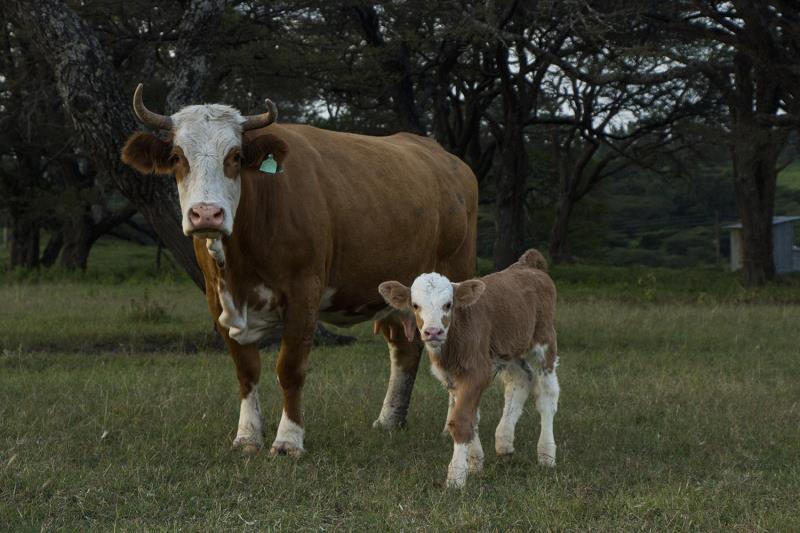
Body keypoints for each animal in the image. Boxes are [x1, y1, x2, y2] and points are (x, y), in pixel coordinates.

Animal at [121, 84, 477, 456]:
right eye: (177, 157)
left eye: (235, 157)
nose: (206, 214)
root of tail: (448, 159)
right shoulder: (217, 300)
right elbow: (246, 370)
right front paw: (247, 436)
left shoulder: (304, 293)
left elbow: (289, 368)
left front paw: (288, 439)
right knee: (404, 350)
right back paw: (389, 420)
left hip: (454, 275)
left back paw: (452, 425)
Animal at [378, 249, 559, 488]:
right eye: (415, 305)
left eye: (448, 304)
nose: (433, 332)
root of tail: (527, 264)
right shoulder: (451, 377)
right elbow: (471, 417)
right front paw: (474, 462)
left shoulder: (476, 372)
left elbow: (462, 419)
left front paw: (456, 475)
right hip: (510, 348)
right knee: (520, 380)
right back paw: (504, 442)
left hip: (544, 341)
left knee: (546, 397)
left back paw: (547, 454)